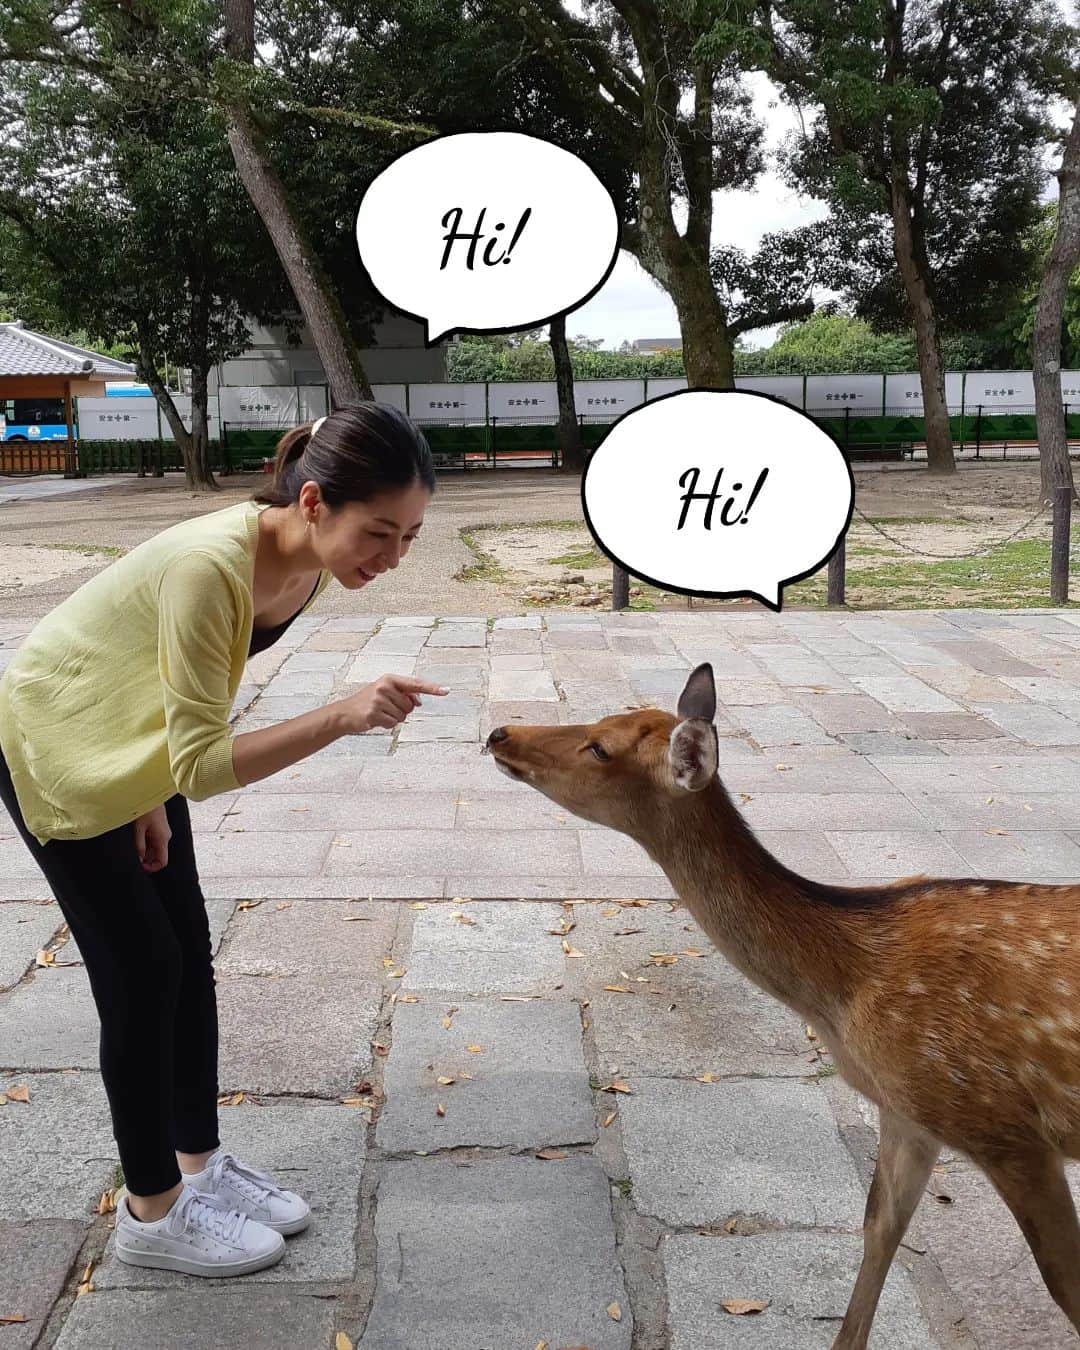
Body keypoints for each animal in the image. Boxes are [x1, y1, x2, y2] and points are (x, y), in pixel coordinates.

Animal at [486, 664, 1080, 1350]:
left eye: (600, 748)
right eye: (608, 717)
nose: (500, 732)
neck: (845, 992)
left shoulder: (1004, 1127)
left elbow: (1065, 1285)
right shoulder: (910, 1110)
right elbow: (880, 1227)